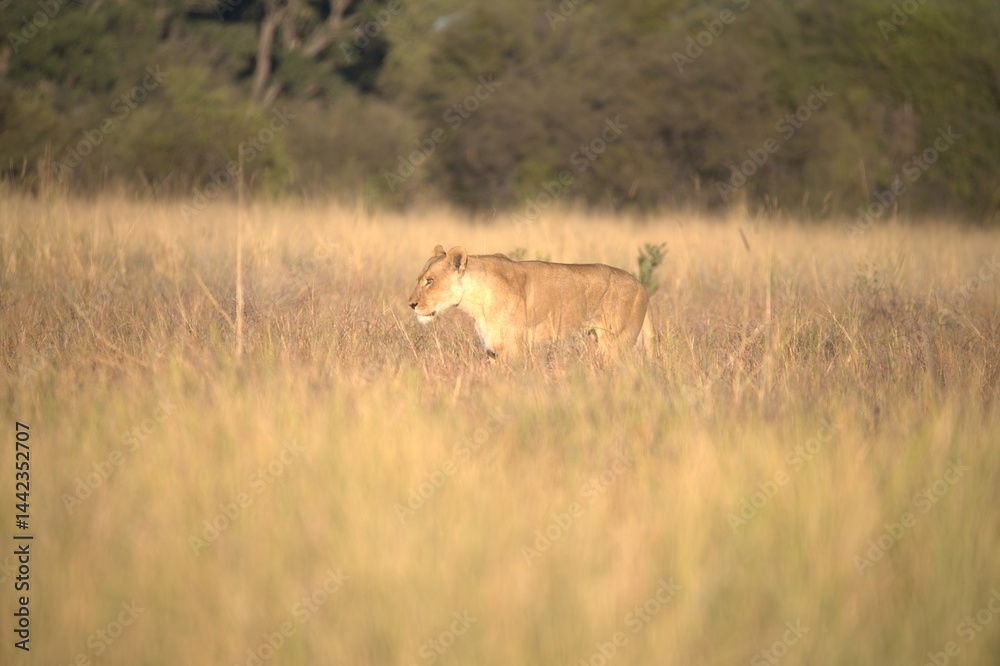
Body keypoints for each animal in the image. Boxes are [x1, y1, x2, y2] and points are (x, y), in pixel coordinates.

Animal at [408, 245, 655, 358]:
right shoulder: (493, 349)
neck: (475, 301)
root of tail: (642, 286)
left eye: (430, 281)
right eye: (419, 279)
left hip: (617, 343)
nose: (411, 304)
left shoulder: (514, 349)